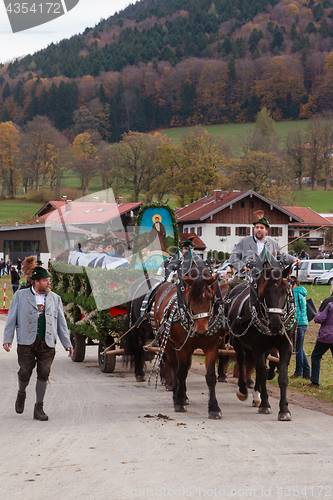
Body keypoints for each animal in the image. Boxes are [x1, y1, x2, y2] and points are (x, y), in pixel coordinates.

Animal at [154, 270, 223, 418]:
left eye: (210, 298)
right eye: (190, 299)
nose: (201, 331)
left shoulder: (212, 347)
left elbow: (210, 377)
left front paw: (214, 408)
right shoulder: (182, 347)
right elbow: (180, 372)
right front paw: (179, 401)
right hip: (166, 341)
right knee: (174, 366)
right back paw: (176, 393)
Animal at [227, 262, 294, 422]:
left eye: (285, 291)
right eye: (266, 292)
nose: (275, 324)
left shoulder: (286, 346)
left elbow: (282, 377)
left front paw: (284, 410)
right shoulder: (257, 347)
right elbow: (263, 373)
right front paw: (265, 405)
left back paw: (256, 396)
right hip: (237, 340)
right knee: (242, 360)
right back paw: (243, 390)